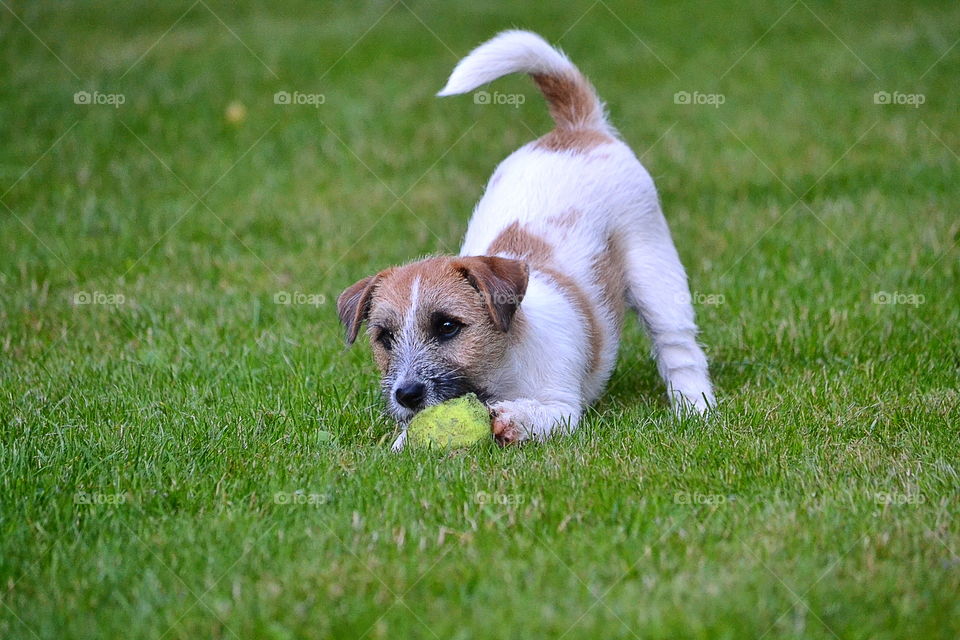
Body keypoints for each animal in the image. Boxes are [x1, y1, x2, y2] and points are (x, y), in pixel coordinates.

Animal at [338, 31, 712, 450]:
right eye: (384, 337)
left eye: (448, 327)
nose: (406, 395)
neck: (504, 366)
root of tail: (577, 129)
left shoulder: (563, 409)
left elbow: (540, 414)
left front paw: (513, 418)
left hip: (655, 271)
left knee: (679, 348)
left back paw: (695, 408)